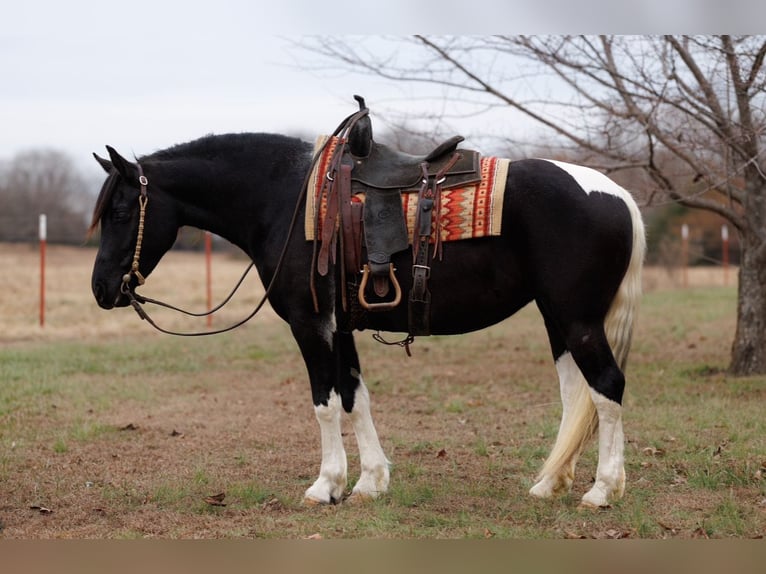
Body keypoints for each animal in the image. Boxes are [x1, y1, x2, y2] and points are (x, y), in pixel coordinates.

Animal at [89, 115, 645, 509]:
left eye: (121, 212)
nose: (101, 289)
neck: (286, 199)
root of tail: (617, 194)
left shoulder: (311, 325)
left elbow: (325, 402)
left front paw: (326, 485)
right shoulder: (341, 327)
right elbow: (357, 398)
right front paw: (371, 482)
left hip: (578, 320)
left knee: (607, 387)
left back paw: (602, 490)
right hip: (558, 319)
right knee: (576, 395)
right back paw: (551, 483)